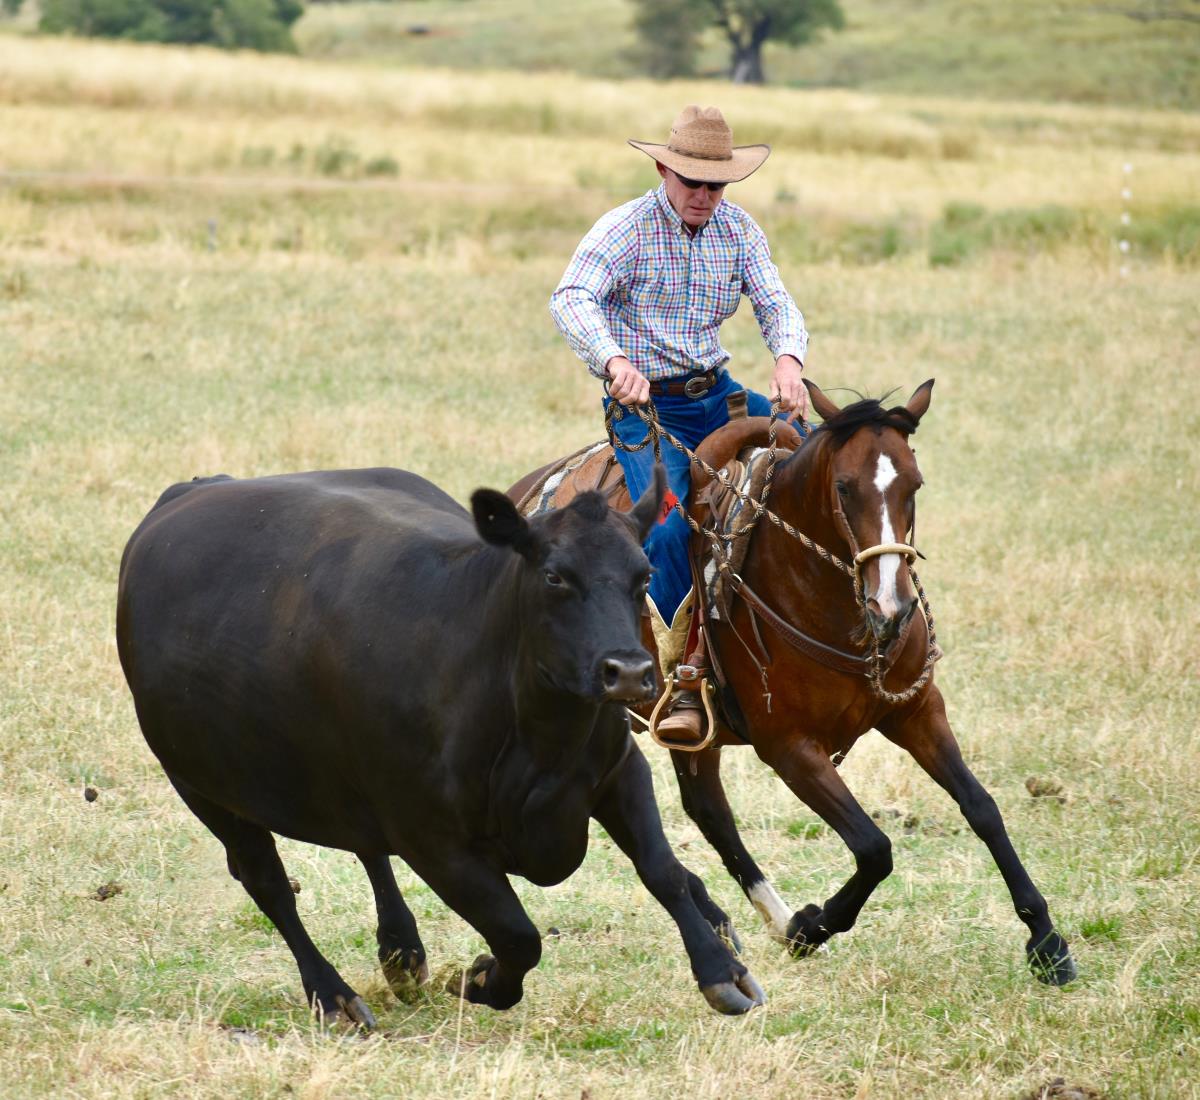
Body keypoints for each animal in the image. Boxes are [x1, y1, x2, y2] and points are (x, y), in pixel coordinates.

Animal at [116, 465, 764, 1028]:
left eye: (644, 575)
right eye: (554, 576)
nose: (628, 672)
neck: (540, 743)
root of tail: (196, 487)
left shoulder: (619, 773)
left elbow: (665, 872)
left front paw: (722, 971)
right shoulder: (432, 838)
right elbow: (516, 934)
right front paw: (480, 981)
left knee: (362, 847)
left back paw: (401, 953)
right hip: (202, 784)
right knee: (269, 884)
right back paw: (333, 996)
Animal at [508, 378, 1077, 986]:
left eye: (914, 483)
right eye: (844, 488)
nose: (892, 606)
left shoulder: (917, 711)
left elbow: (982, 808)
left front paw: (1046, 941)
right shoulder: (789, 748)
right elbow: (874, 847)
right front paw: (812, 926)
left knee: (707, 809)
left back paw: (736, 922)